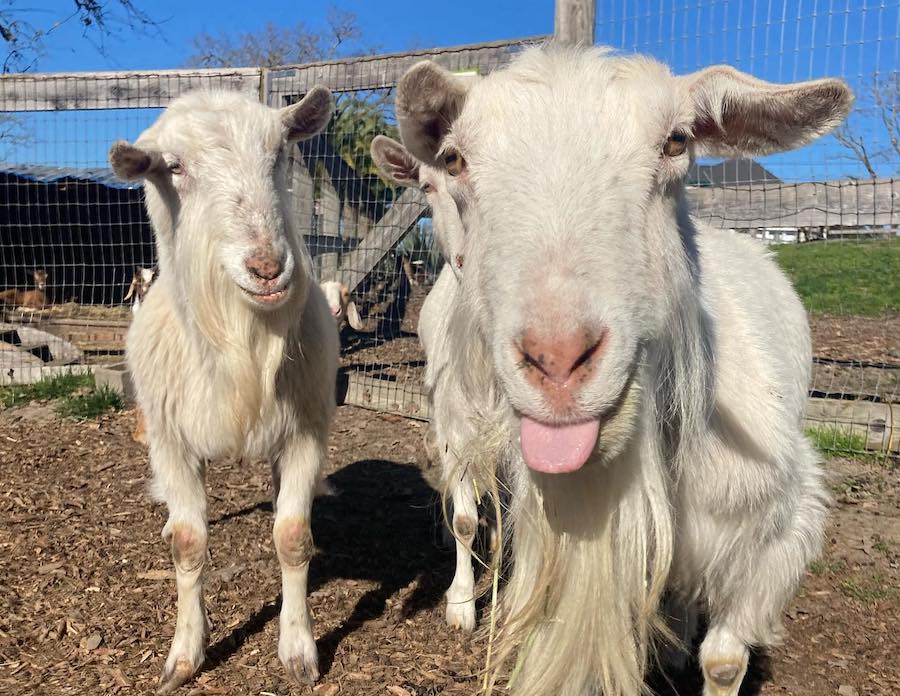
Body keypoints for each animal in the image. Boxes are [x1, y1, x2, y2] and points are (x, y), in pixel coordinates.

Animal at [108, 88, 338, 696]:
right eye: (173, 167)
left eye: (280, 152)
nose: (267, 266)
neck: (241, 346)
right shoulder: (170, 440)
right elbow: (189, 543)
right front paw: (185, 655)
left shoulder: (306, 431)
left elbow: (292, 535)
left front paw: (298, 649)